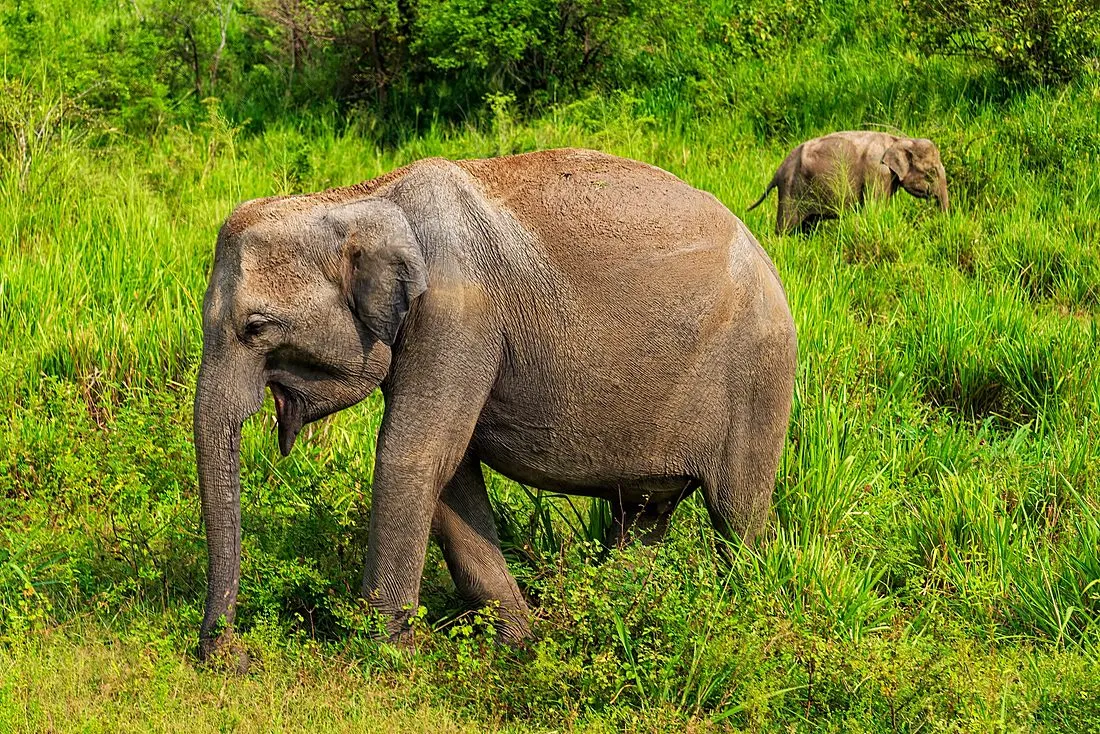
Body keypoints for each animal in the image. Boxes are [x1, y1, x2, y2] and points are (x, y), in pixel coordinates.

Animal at [194, 147, 797, 663]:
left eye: (256, 327)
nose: (231, 657)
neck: (362, 196)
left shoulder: (458, 316)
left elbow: (412, 457)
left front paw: (382, 657)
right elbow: (449, 474)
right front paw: (521, 646)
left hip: (759, 378)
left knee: (738, 515)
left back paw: (747, 616)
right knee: (643, 516)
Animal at [747, 131, 949, 234]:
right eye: (931, 173)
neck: (898, 140)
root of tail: (778, 170)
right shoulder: (877, 172)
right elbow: (875, 208)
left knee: (808, 225)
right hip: (791, 190)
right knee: (786, 226)